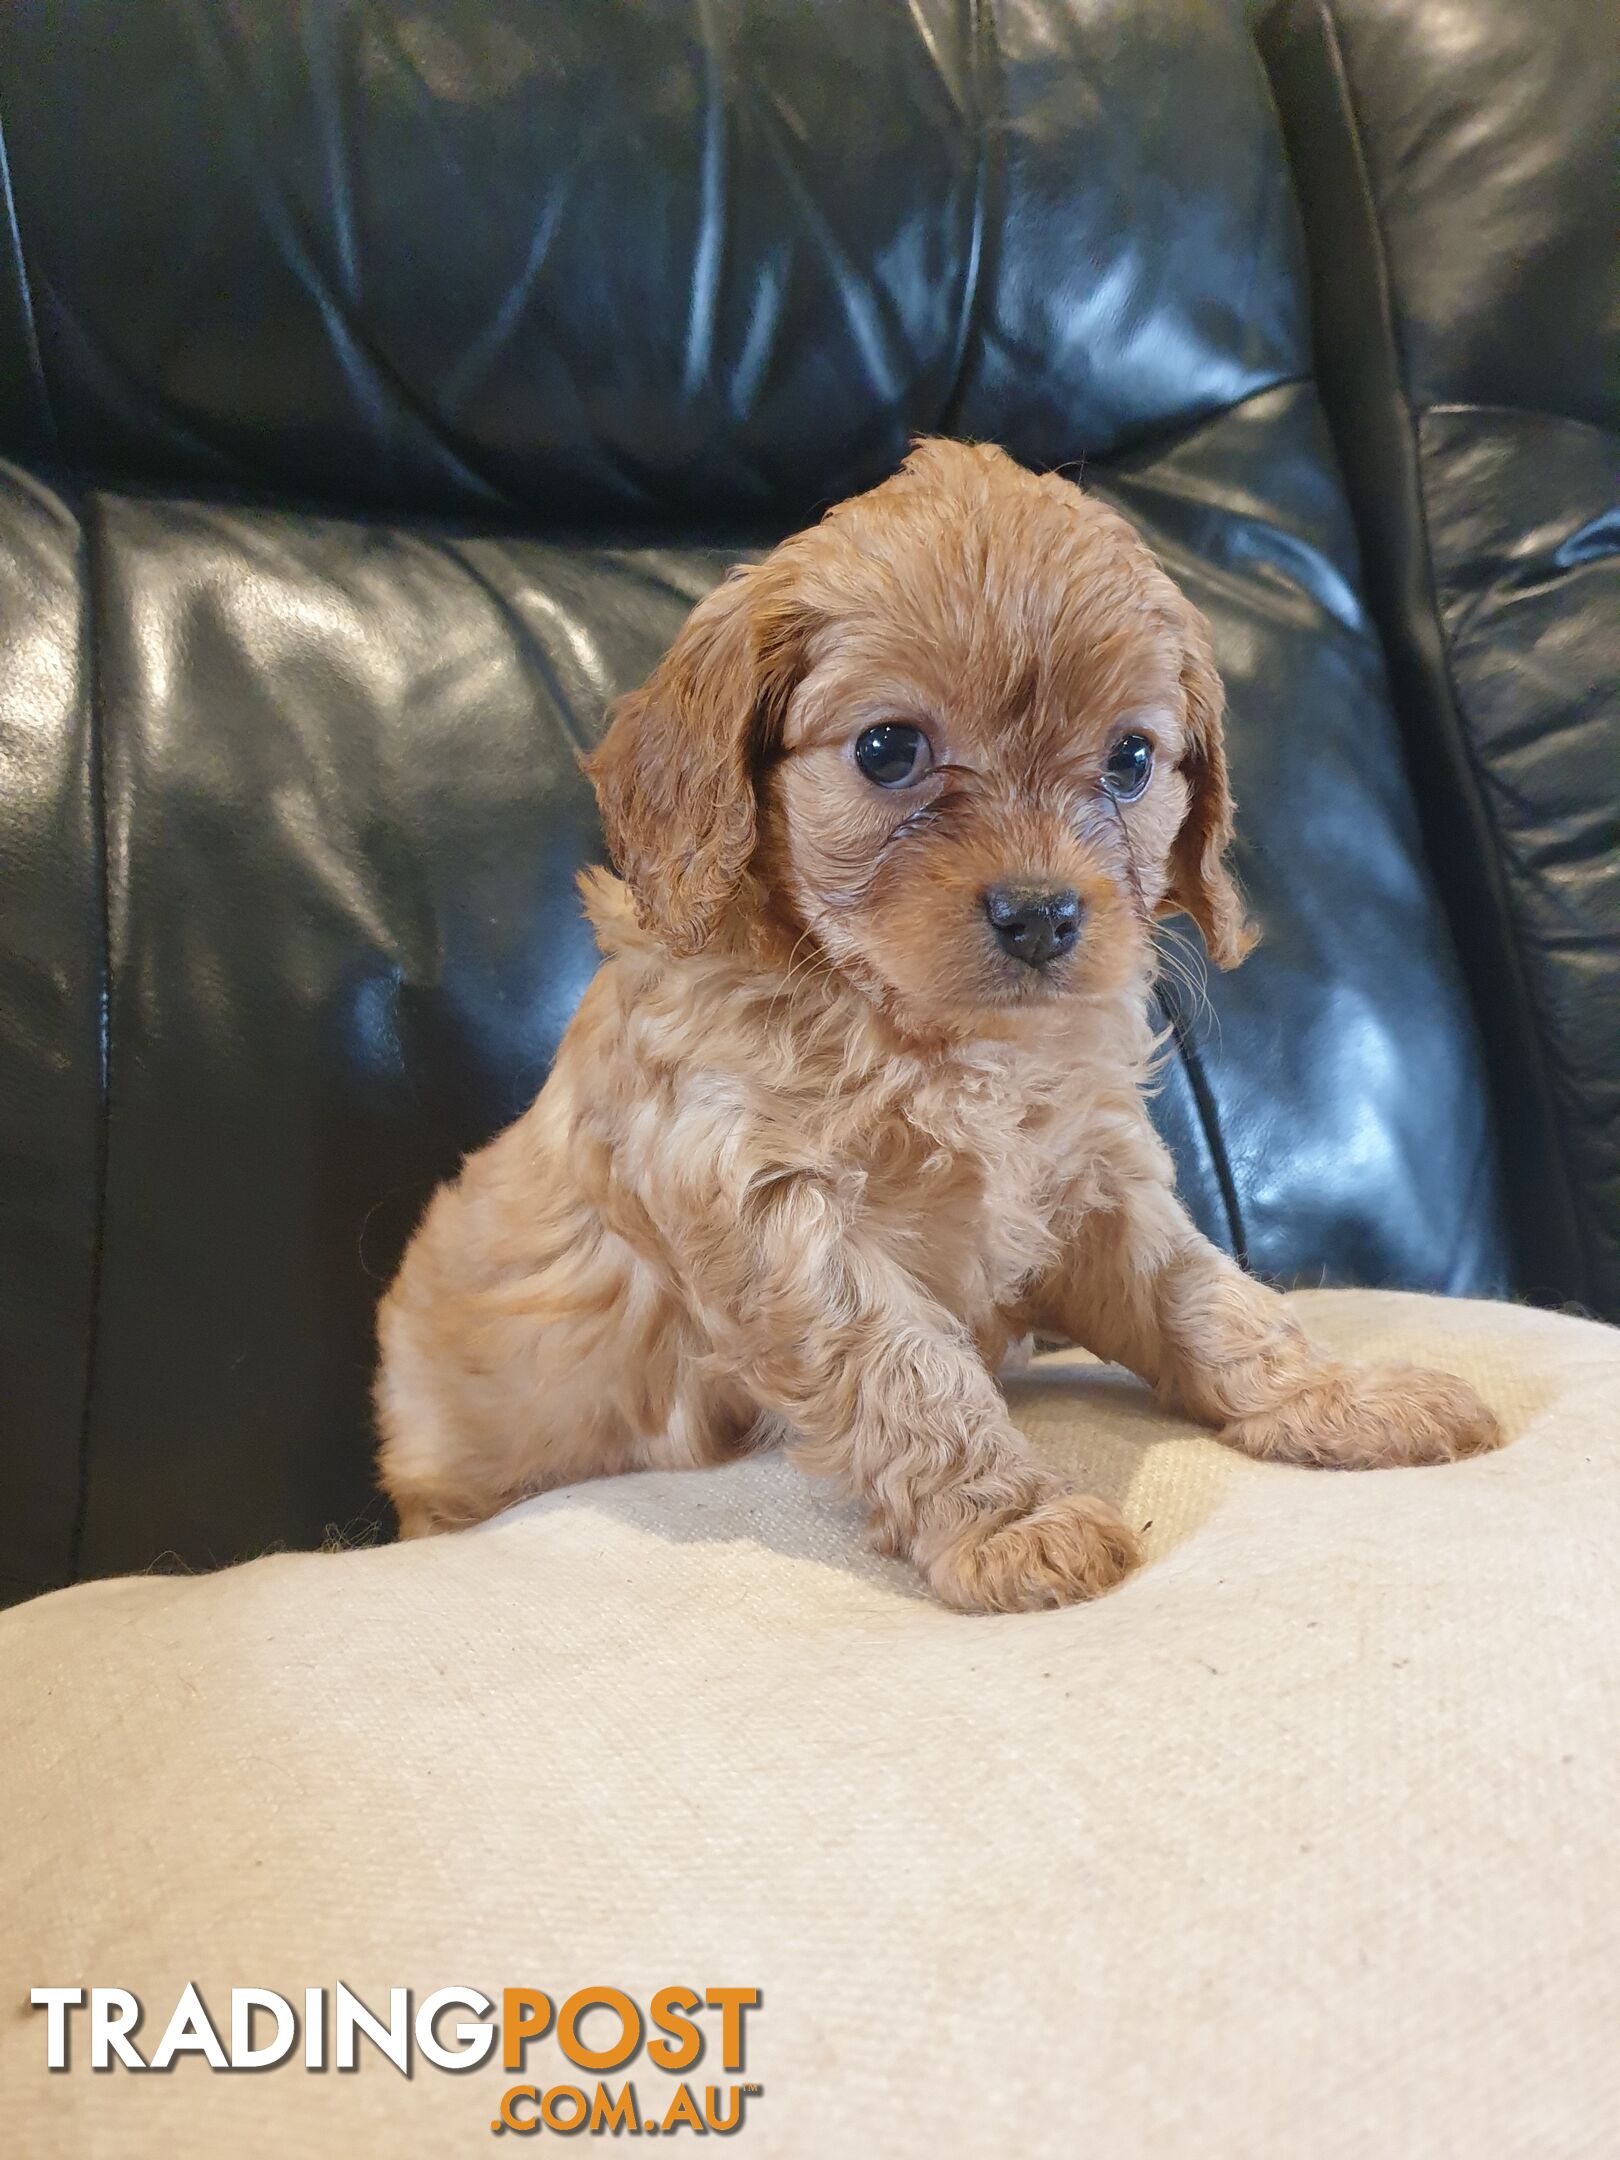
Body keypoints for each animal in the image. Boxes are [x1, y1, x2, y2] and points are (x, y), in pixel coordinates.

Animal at [380, 438, 1512, 1615]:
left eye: (1131, 760)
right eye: (887, 750)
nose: (1042, 914)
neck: (935, 1039)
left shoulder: (1098, 1184)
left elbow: (1213, 1297)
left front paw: (1338, 1396)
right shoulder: (778, 1212)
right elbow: (906, 1370)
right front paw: (1013, 1521)